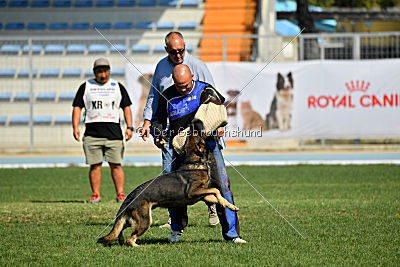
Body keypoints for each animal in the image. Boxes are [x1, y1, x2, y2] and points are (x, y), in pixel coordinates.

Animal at [97, 135, 239, 248]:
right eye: (198, 135)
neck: (194, 162)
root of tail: (130, 196)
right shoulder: (193, 191)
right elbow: (215, 190)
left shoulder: (202, 195)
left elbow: (216, 195)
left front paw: (230, 205)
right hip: (145, 221)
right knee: (130, 239)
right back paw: (139, 246)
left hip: (131, 220)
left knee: (119, 230)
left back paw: (120, 240)